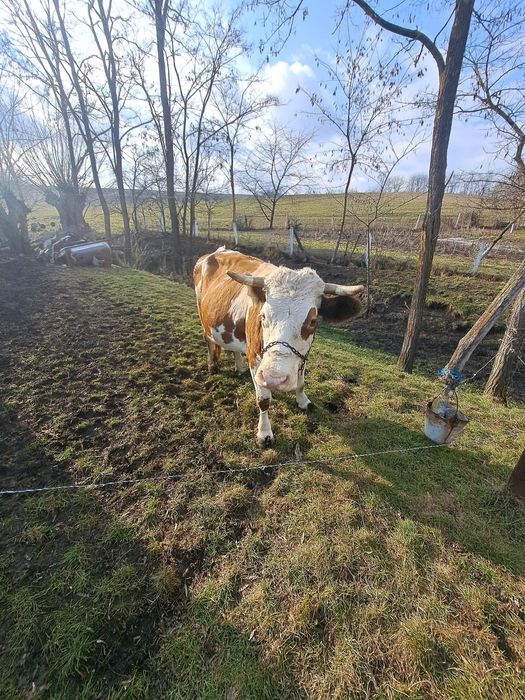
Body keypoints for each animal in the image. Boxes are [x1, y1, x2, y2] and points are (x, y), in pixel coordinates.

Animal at [194, 246, 364, 447]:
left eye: (313, 321)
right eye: (263, 316)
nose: (274, 378)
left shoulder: (302, 356)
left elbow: (301, 383)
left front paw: (303, 401)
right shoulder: (255, 358)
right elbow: (263, 400)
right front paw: (264, 433)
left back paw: (239, 368)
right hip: (203, 317)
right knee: (208, 340)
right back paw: (212, 365)